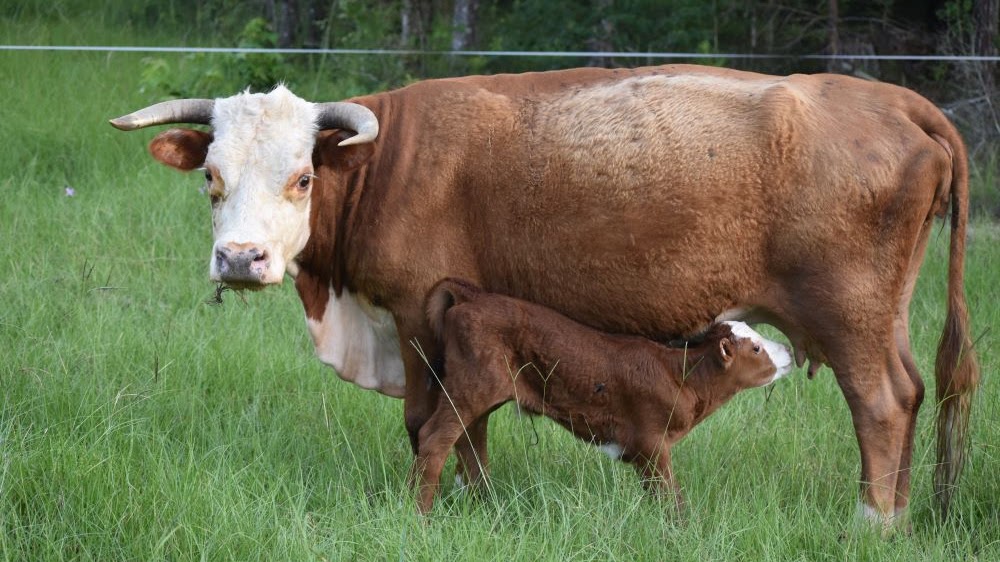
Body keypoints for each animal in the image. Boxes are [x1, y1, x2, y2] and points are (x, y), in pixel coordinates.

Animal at [414, 277, 793, 514]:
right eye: (756, 348)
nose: (788, 350)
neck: (681, 376)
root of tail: (474, 297)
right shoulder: (651, 443)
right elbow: (670, 495)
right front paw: (681, 529)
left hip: (477, 395)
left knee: (468, 442)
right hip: (470, 387)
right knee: (433, 439)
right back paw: (421, 514)